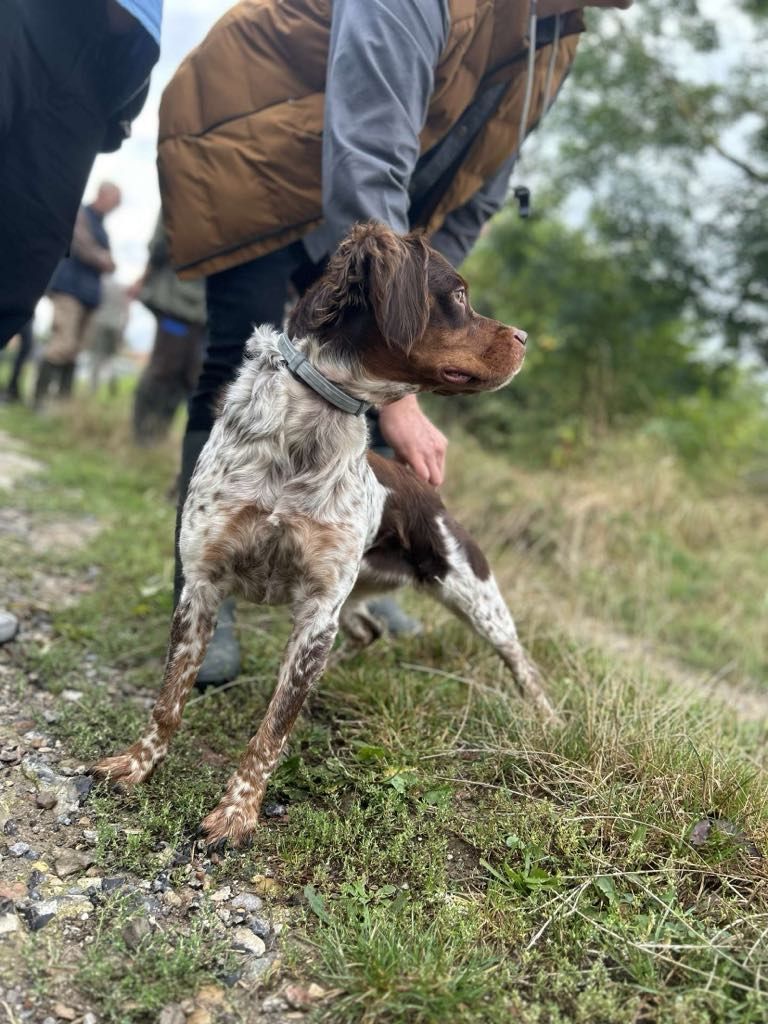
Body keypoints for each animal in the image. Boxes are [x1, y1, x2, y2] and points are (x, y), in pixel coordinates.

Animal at [94, 222, 554, 847]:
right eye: (457, 295)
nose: (526, 337)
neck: (306, 433)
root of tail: (425, 489)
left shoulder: (317, 609)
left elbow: (270, 731)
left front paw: (237, 813)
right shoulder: (203, 587)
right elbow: (169, 701)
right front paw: (137, 765)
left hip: (472, 595)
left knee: (521, 662)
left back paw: (548, 720)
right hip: (355, 595)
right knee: (364, 632)